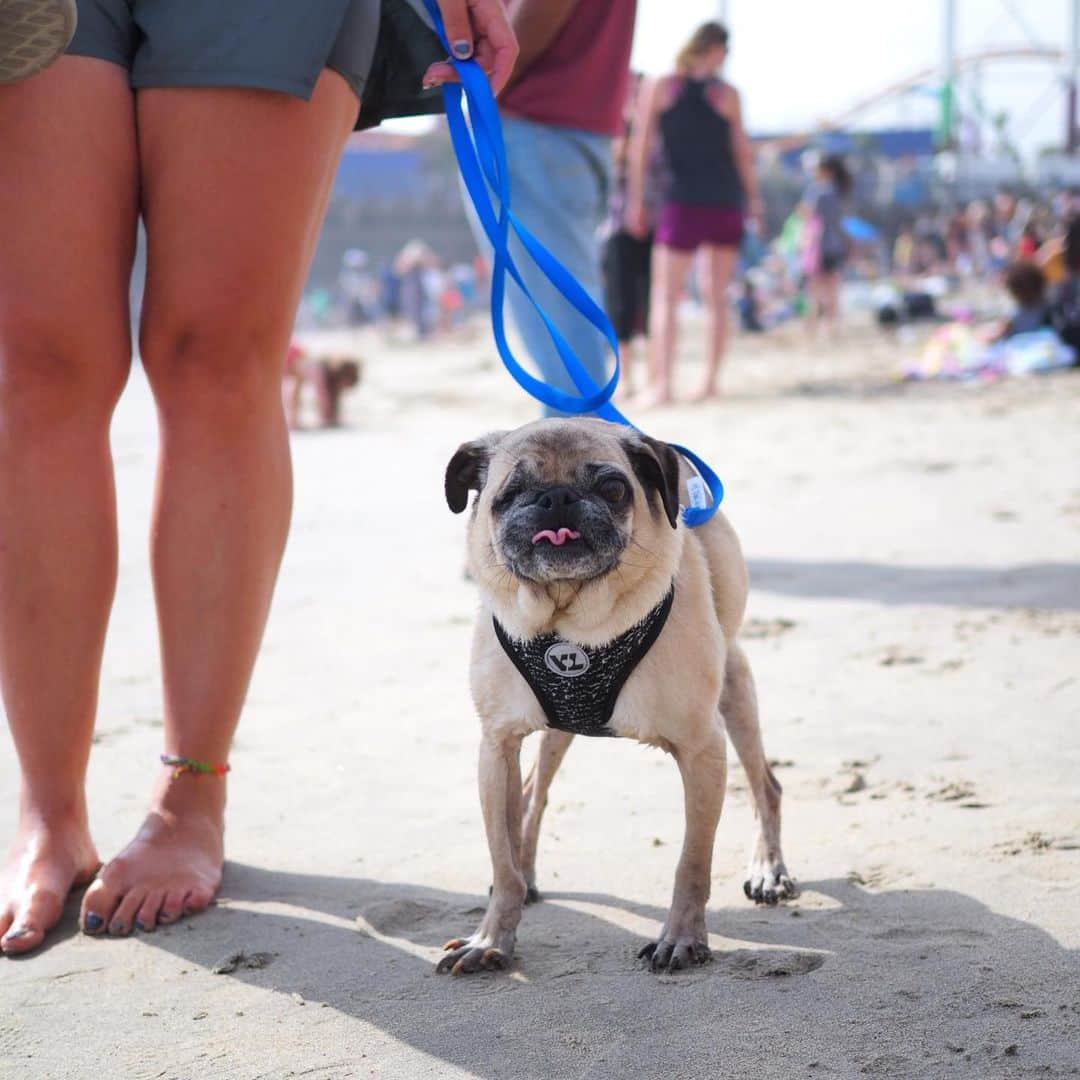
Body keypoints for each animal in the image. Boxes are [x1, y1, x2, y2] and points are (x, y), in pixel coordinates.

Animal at [434, 421, 799, 980]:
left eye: (613, 489)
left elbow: (692, 862)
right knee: (533, 796)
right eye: (509, 495)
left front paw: (681, 939)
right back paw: (528, 872)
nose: (556, 498)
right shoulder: (497, 747)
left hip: (735, 690)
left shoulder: (702, 751)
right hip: (555, 730)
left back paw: (768, 870)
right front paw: (493, 937)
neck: (570, 621)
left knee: (767, 786)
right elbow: (502, 852)